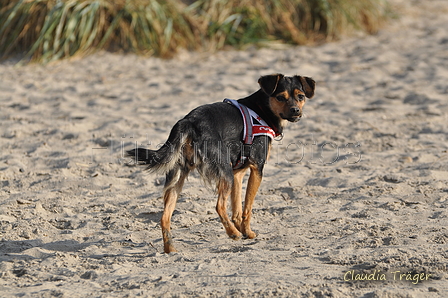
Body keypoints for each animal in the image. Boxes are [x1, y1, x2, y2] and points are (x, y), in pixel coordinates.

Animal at [126, 73, 316, 253]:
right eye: (280, 97)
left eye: (300, 96)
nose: (295, 110)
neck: (262, 109)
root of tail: (188, 121)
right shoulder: (256, 169)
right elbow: (247, 207)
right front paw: (247, 232)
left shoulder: (238, 173)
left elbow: (237, 208)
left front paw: (242, 230)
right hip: (225, 173)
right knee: (219, 206)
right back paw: (232, 233)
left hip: (179, 177)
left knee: (165, 217)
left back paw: (170, 249)